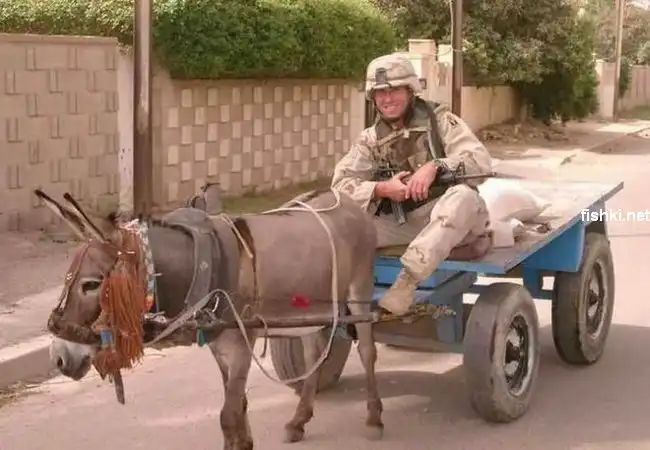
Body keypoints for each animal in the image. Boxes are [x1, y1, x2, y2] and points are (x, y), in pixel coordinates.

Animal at [34, 186, 383, 450]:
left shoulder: (241, 345)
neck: (204, 264)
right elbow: (237, 407)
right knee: (315, 355)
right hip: (309, 308)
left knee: (367, 350)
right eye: (66, 279)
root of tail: (345, 196)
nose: (59, 358)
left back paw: (375, 418)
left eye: (91, 284)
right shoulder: (219, 345)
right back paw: (299, 421)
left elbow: (228, 414)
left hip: (360, 290)